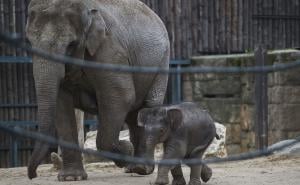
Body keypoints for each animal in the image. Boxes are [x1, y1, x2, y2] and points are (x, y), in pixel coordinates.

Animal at [25, 0, 170, 181]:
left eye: (71, 45)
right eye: (29, 43)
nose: (33, 175)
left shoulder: (109, 51)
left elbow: (121, 95)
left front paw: (126, 149)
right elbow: (61, 104)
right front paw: (71, 178)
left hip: (161, 64)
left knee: (147, 107)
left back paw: (141, 169)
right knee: (133, 115)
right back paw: (132, 168)